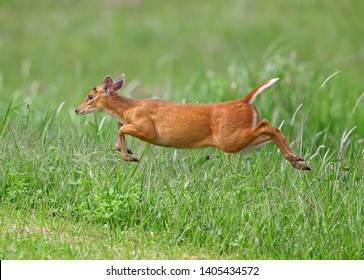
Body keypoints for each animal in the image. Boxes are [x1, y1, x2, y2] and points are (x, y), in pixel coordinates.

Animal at [75, 74, 312, 171]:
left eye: (89, 96)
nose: (77, 109)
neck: (128, 109)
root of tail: (244, 101)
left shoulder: (148, 128)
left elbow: (122, 128)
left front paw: (129, 157)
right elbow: (119, 128)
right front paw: (127, 152)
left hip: (229, 139)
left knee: (269, 125)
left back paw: (296, 159)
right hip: (239, 142)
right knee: (271, 129)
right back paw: (300, 162)